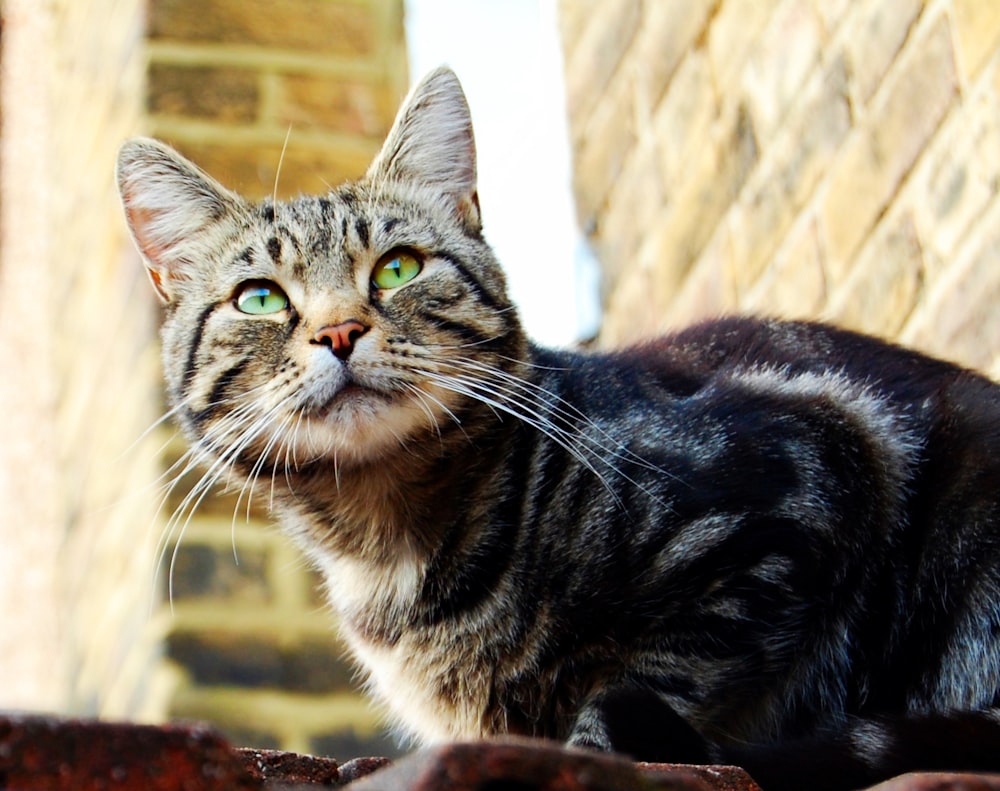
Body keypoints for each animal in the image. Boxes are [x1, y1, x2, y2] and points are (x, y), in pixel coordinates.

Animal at [117, 69, 1000, 791]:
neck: (388, 545)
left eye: (398, 267)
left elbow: (654, 684)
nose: (339, 330)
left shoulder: (799, 480)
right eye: (261, 297)